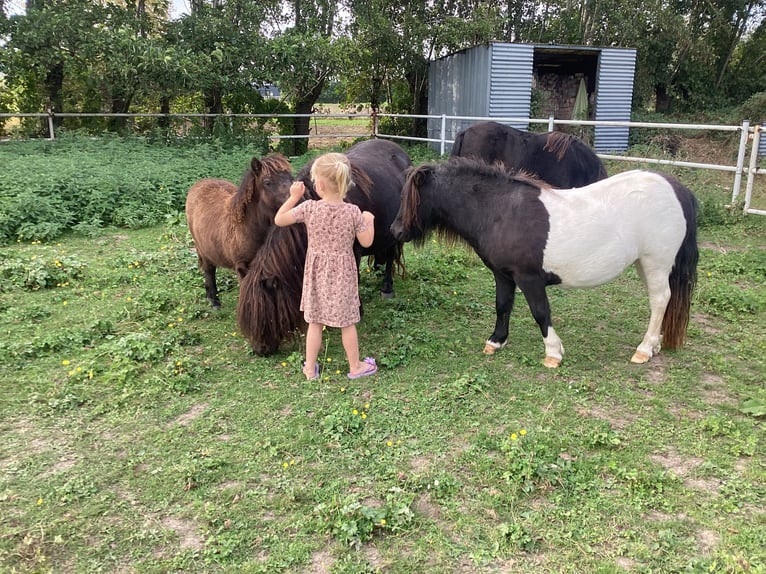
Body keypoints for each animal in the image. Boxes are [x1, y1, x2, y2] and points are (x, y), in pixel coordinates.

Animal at [186, 154, 294, 310]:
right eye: (267, 182)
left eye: (291, 178)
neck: (248, 228)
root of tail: (199, 184)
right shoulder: (242, 268)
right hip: (203, 249)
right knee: (209, 269)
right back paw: (214, 300)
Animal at [392, 158, 700, 366]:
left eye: (412, 199)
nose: (395, 232)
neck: (499, 211)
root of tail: (675, 188)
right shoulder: (503, 275)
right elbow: (503, 305)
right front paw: (496, 341)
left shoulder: (528, 278)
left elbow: (540, 312)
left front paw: (553, 353)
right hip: (646, 264)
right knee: (663, 300)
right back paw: (655, 344)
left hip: (656, 262)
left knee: (659, 299)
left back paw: (644, 349)